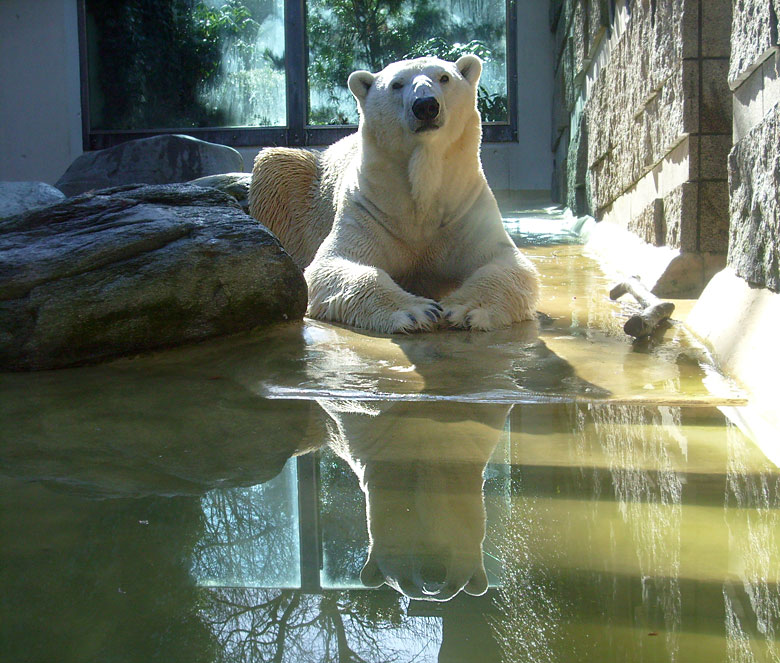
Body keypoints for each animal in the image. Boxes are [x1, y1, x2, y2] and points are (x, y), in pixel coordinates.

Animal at [247, 55, 540, 334]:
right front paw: (418, 311)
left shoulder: (464, 207)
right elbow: (335, 264)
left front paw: (463, 309)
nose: (425, 105)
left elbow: (507, 264)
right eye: (397, 84)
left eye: (444, 77)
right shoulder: (371, 206)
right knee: (277, 166)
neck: (422, 191)